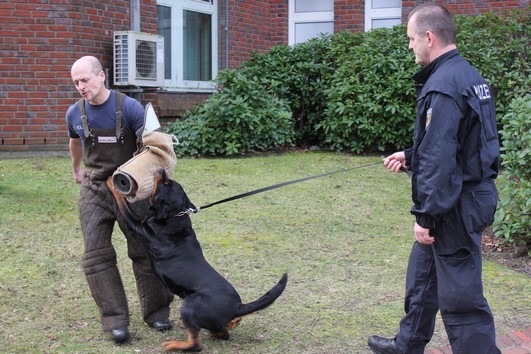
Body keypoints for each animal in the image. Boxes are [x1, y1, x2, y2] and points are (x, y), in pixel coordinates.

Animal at [107, 169, 286, 352]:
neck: (173, 216)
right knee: (223, 333)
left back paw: (174, 344)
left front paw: (111, 184)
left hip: (189, 305)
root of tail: (237, 306)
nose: (161, 170)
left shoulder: (139, 228)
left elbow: (123, 206)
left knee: (195, 344)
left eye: (166, 183)